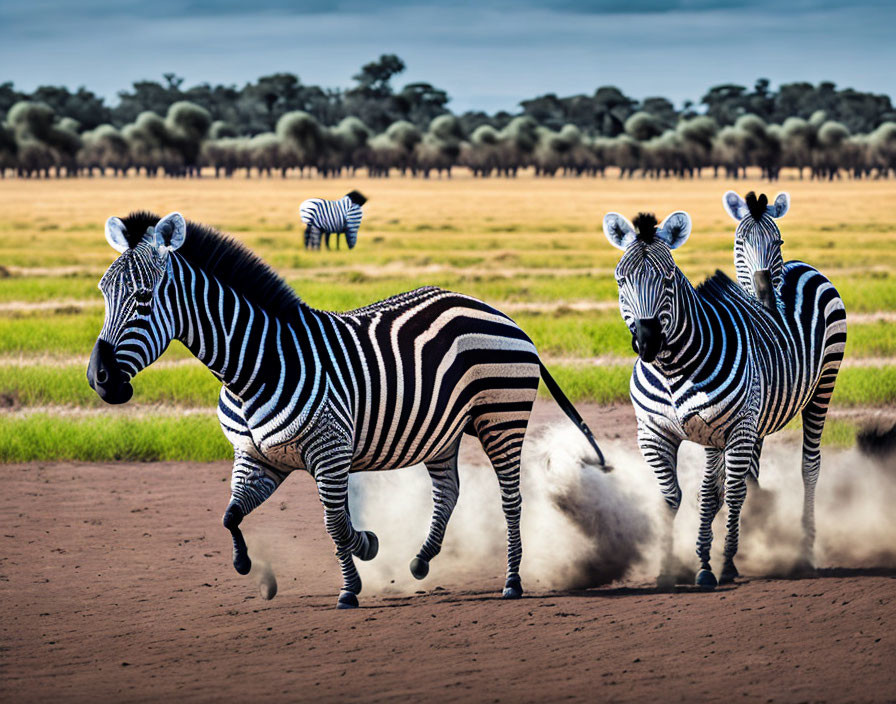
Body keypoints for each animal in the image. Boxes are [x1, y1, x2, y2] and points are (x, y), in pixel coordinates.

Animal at [89, 212, 608, 608]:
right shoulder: (258, 458)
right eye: (103, 292)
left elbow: (334, 523)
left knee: (510, 498)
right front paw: (251, 569)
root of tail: (495, 311)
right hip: (443, 430)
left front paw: (356, 574)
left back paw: (513, 581)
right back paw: (421, 560)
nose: (99, 379)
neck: (254, 367)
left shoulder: (329, 450)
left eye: (142, 298)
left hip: (501, 418)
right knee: (448, 491)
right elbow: (230, 514)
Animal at [600, 209, 848, 588]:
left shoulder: (732, 430)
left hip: (823, 385)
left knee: (808, 467)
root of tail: (797, 264)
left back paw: (803, 550)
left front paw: (720, 563)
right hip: (752, 420)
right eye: (620, 281)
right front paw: (670, 568)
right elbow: (674, 497)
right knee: (745, 480)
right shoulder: (655, 434)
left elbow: (724, 493)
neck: (672, 369)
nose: (647, 342)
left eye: (668, 279)